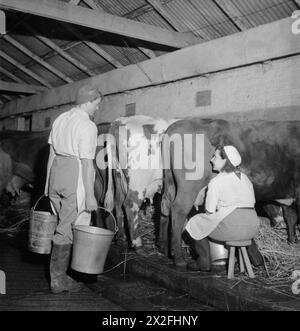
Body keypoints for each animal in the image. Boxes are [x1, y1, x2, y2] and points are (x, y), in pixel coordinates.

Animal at [102, 116, 178, 249]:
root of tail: (119, 121)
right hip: (138, 182)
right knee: (130, 205)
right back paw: (137, 244)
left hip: (119, 177)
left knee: (118, 205)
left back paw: (121, 239)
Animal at [161, 119, 300, 268]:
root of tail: (177, 125)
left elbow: (290, 217)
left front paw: (292, 241)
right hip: (189, 188)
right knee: (178, 210)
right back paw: (179, 259)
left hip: (170, 181)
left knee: (166, 205)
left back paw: (165, 249)